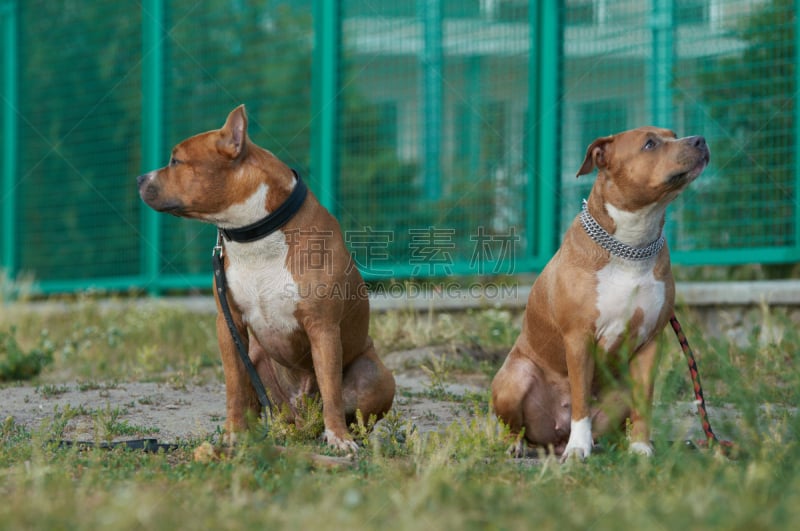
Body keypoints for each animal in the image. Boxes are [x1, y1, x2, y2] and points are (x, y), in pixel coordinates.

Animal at [141, 105, 400, 454]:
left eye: (175, 160)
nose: (140, 178)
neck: (256, 234)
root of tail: (303, 417)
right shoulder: (229, 325)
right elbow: (234, 387)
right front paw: (233, 435)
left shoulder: (323, 328)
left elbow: (331, 389)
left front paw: (339, 439)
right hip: (256, 356)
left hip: (377, 375)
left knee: (351, 408)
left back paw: (340, 433)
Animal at [490, 127, 708, 460]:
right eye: (650, 144)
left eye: (673, 135)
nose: (700, 140)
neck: (632, 245)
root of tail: (554, 436)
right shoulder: (578, 338)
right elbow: (580, 400)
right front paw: (577, 449)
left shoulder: (651, 342)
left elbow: (644, 403)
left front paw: (641, 448)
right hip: (516, 377)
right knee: (517, 425)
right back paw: (520, 445)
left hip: (620, 391)